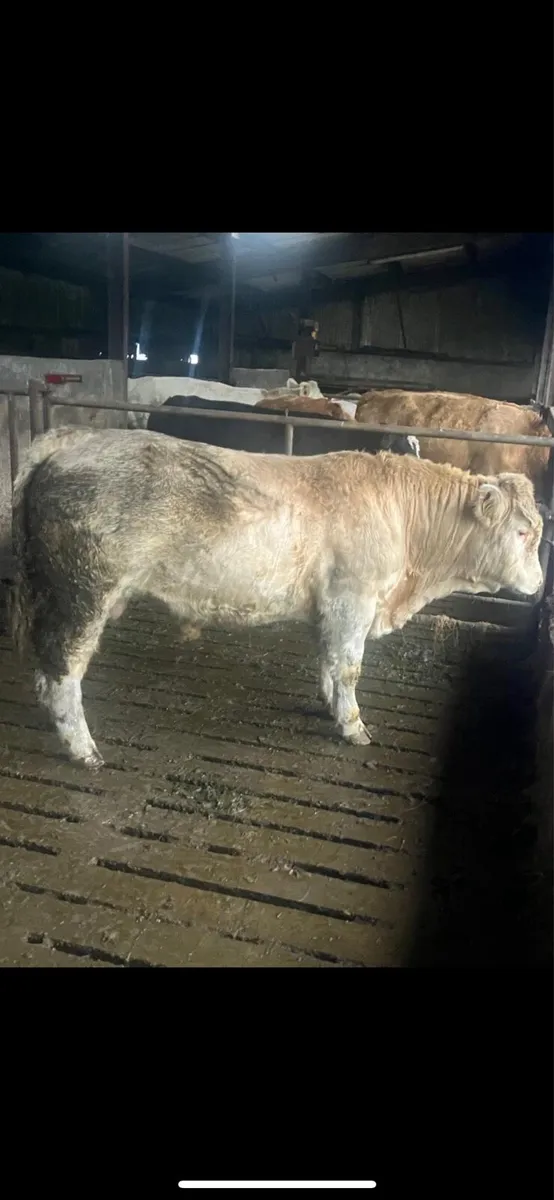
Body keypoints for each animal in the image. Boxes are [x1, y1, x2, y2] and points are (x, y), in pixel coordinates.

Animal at [10, 426, 543, 769]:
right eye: (522, 532)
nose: (539, 585)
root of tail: (73, 439)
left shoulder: (331, 606)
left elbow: (328, 660)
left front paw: (330, 706)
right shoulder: (354, 598)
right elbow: (348, 667)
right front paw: (353, 726)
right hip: (83, 594)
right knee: (62, 671)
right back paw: (84, 750)